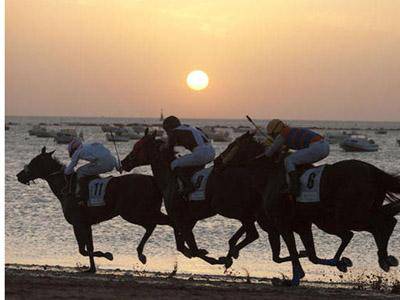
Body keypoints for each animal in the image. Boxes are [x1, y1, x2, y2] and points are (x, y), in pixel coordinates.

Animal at [17, 146, 172, 274]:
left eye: (33, 162)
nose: (19, 175)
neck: (67, 188)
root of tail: (153, 180)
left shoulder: (78, 223)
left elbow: (83, 250)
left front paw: (107, 255)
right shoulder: (86, 224)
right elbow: (89, 248)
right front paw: (93, 267)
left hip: (134, 213)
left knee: (155, 224)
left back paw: (144, 254)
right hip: (145, 212)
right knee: (156, 225)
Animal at [120, 129, 304, 268]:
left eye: (138, 146)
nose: (124, 162)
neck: (169, 179)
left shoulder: (179, 218)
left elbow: (189, 247)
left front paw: (211, 257)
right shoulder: (188, 219)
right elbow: (183, 246)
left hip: (231, 208)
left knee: (253, 232)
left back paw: (231, 253)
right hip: (250, 211)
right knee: (256, 231)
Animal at [220, 133, 400, 284]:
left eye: (231, 145)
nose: (218, 160)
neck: (270, 175)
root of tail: (373, 170)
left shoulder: (282, 223)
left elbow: (292, 250)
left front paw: (295, 277)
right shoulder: (301, 225)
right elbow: (310, 254)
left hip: (348, 215)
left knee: (377, 225)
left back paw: (382, 259)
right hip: (349, 215)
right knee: (384, 222)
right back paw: (383, 259)